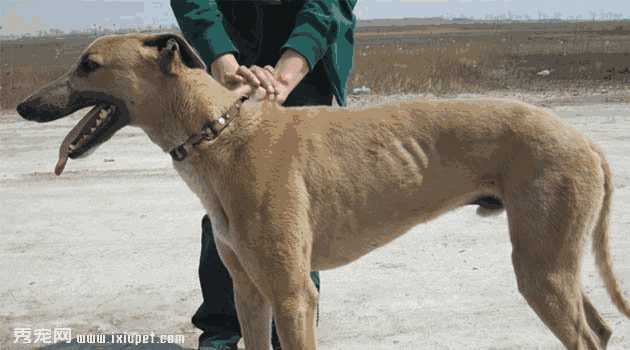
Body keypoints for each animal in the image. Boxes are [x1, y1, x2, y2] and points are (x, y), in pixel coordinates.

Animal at [17, 32, 628, 348]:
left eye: (89, 64)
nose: (23, 106)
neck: (222, 131)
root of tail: (586, 141)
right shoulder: (250, 293)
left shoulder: (293, 295)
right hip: (552, 263)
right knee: (599, 329)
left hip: (541, 267)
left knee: (585, 335)